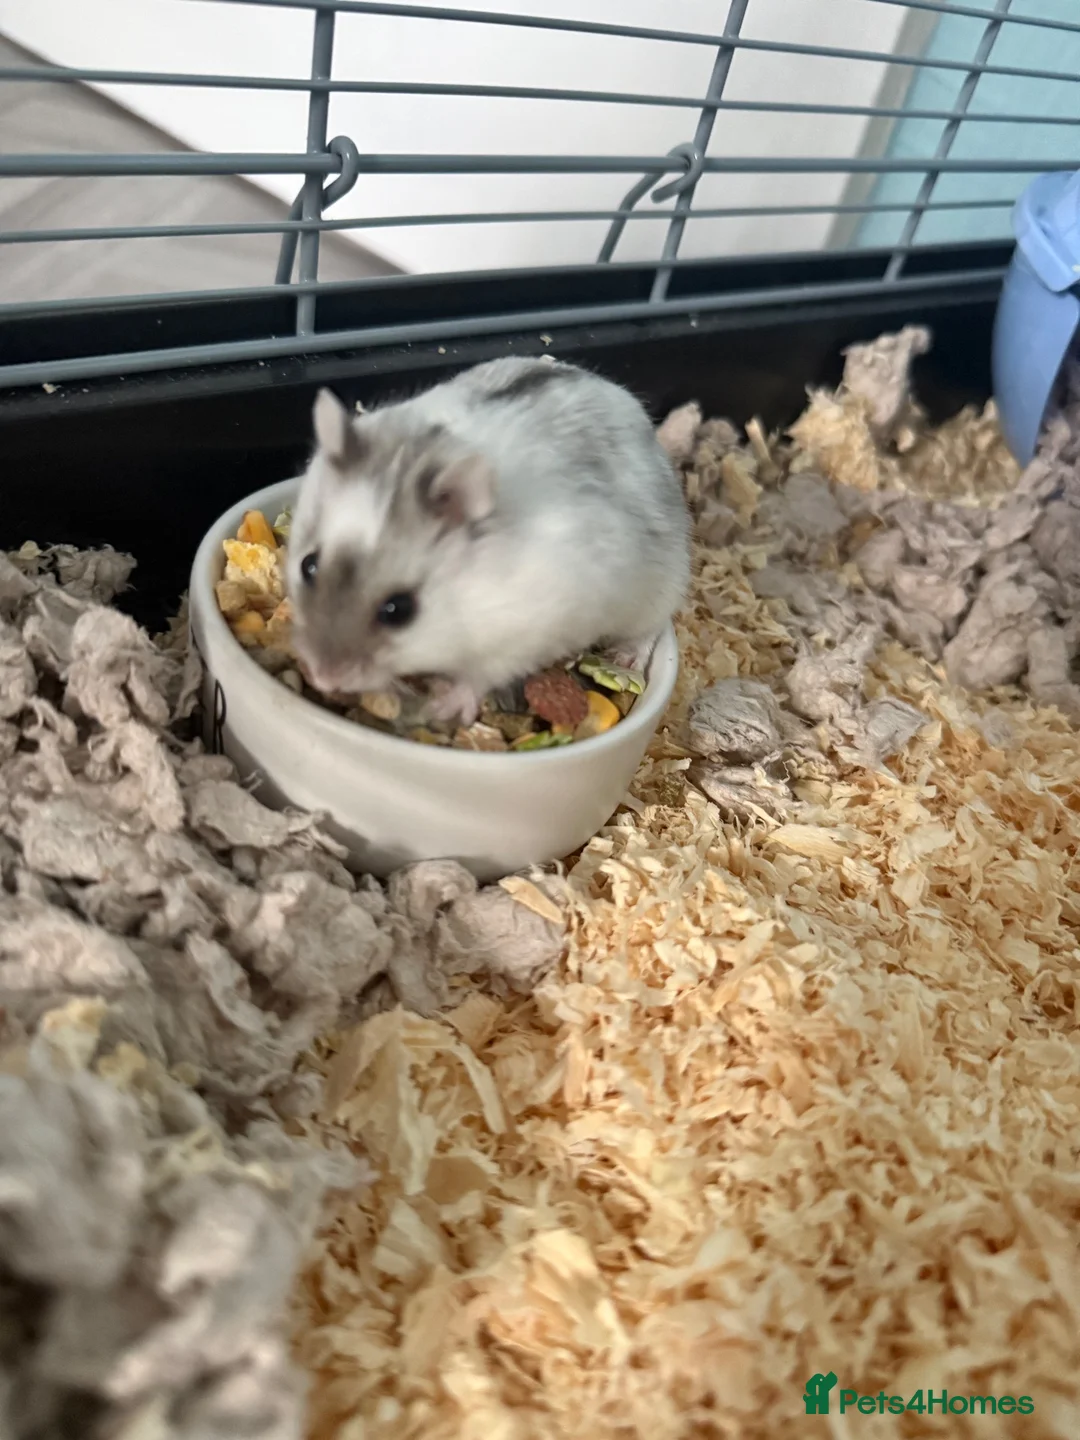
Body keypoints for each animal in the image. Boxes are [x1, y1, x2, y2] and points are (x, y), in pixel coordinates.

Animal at [286, 356, 692, 726]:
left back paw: (624, 658)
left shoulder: (527, 633)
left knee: (652, 627)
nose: (323, 678)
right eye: (308, 566)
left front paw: (442, 705)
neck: (466, 596)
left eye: (399, 610)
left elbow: (478, 675)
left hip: (659, 584)